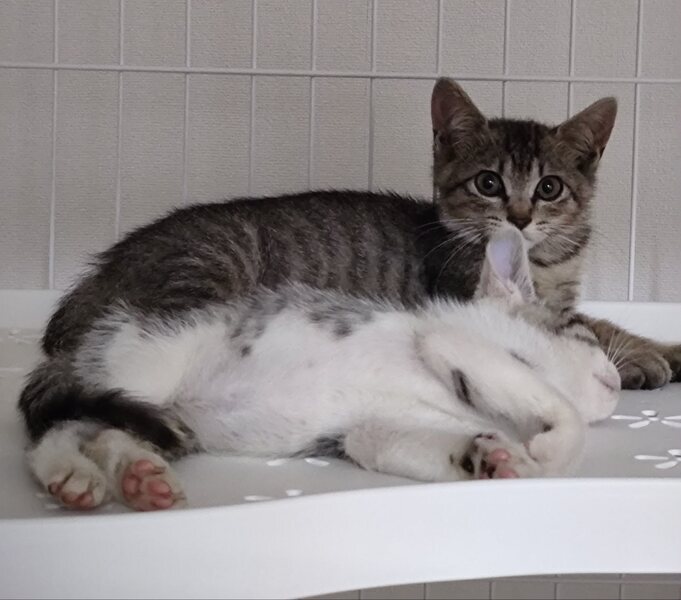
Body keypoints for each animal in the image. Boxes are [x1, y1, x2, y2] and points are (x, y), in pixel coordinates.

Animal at [25, 229, 621, 511]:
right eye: (580, 330)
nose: (617, 383)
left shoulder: (367, 431)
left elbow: (393, 442)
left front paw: (492, 457)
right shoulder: (452, 341)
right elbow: (557, 403)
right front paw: (551, 451)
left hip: (162, 418)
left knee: (107, 434)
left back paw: (141, 477)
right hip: (143, 364)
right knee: (52, 426)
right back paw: (71, 474)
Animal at [30, 78, 680, 395]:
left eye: (549, 187)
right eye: (489, 182)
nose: (519, 217)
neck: (546, 264)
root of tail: (104, 270)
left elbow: (598, 321)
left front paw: (658, 348)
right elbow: (582, 330)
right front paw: (641, 362)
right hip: (209, 269)